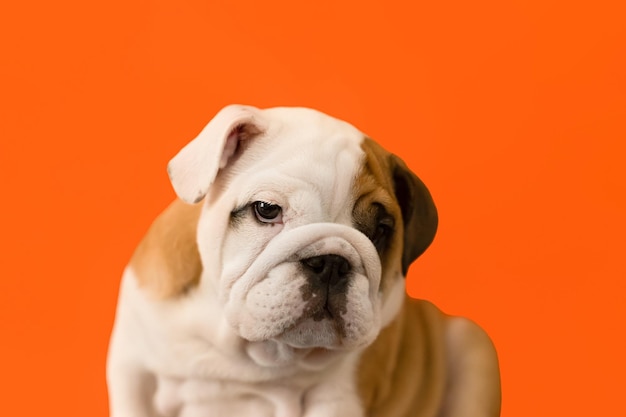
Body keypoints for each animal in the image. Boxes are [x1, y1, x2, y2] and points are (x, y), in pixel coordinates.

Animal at [106, 104, 498, 416]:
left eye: (381, 230)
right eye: (266, 209)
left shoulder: (337, 398)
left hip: (475, 349)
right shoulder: (133, 373)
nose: (331, 262)